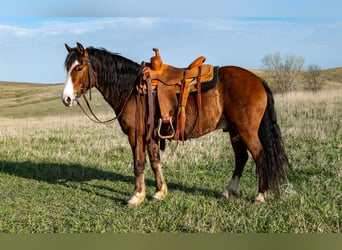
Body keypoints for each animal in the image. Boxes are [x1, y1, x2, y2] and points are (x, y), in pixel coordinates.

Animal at [61, 43, 288, 206]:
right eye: (67, 68)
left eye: (79, 67)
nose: (66, 99)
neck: (132, 89)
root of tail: (258, 80)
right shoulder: (151, 135)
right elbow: (155, 161)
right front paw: (159, 193)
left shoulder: (135, 134)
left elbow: (139, 163)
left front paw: (137, 197)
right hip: (234, 131)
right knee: (241, 158)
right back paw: (228, 192)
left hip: (246, 131)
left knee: (259, 156)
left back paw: (260, 195)